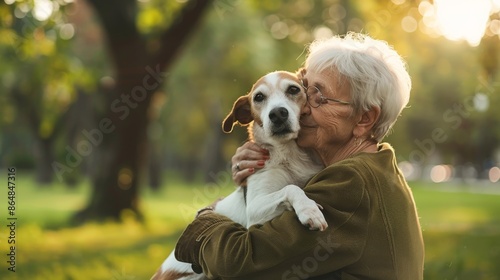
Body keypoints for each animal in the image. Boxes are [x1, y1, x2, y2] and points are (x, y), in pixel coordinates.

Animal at [150, 70, 326, 280]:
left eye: (293, 89)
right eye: (259, 97)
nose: (277, 113)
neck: (290, 155)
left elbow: (293, 186)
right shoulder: (255, 210)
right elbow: (291, 188)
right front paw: (309, 211)